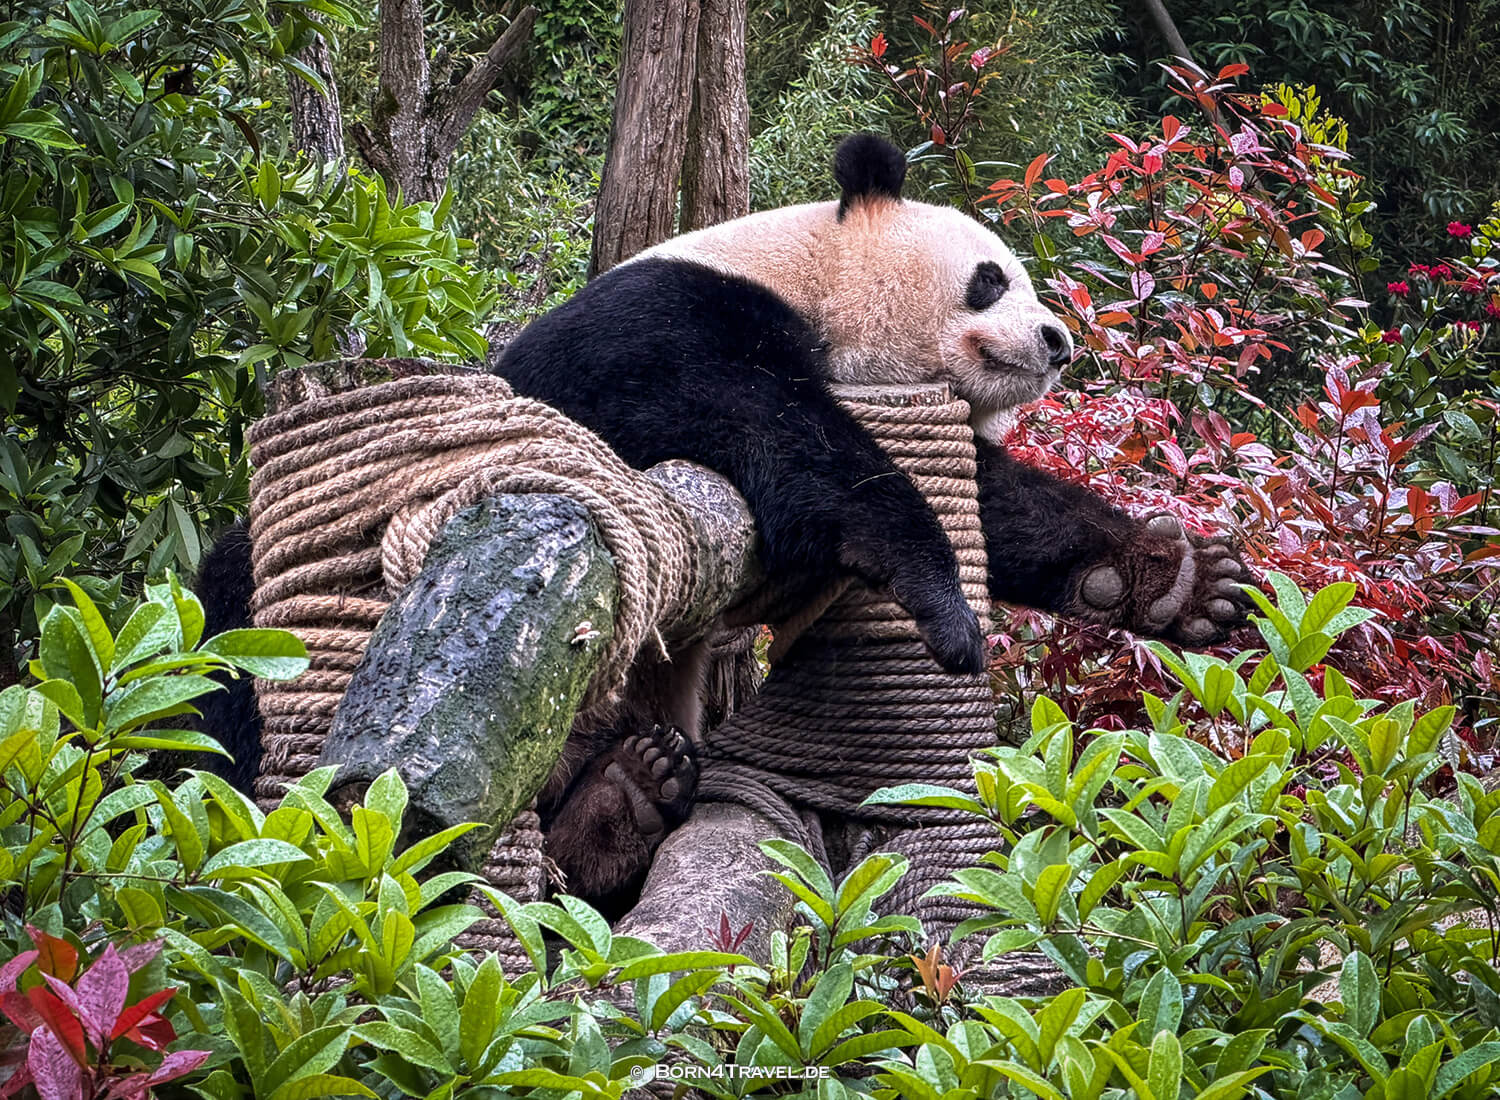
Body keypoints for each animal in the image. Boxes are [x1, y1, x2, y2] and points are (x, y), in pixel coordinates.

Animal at [196, 135, 1252, 911]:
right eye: (991, 278)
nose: (1059, 341)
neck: (811, 276)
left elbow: (1001, 499)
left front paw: (1178, 582)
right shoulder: (657, 323)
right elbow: (755, 423)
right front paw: (943, 603)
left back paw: (626, 798)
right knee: (227, 655)